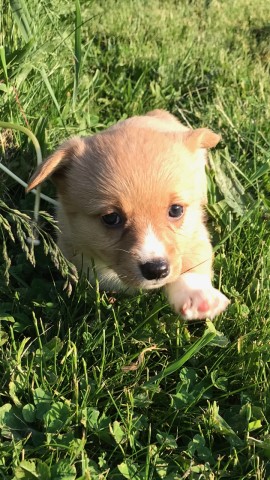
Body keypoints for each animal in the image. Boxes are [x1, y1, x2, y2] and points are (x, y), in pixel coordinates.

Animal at [28, 109, 230, 318]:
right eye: (111, 218)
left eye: (176, 210)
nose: (156, 270)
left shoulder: (195, 232)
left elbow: (193, 261)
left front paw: (198, 297)